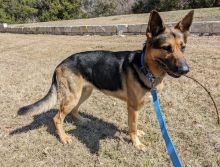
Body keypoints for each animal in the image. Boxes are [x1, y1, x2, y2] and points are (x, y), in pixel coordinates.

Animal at [18, 10, 194, 151]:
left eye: (183, 47)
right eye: (166, 48)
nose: (185, 70)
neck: (145, 68)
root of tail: (61, 63)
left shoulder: (136, 108)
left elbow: (134, 125)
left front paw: (137, 135)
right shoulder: (132, 107)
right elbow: (132, 126)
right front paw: (136, 144)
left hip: (84, 93)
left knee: (74, 111)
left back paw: (82, 120)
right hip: (72, 97)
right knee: (57, 118)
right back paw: (64, 138)